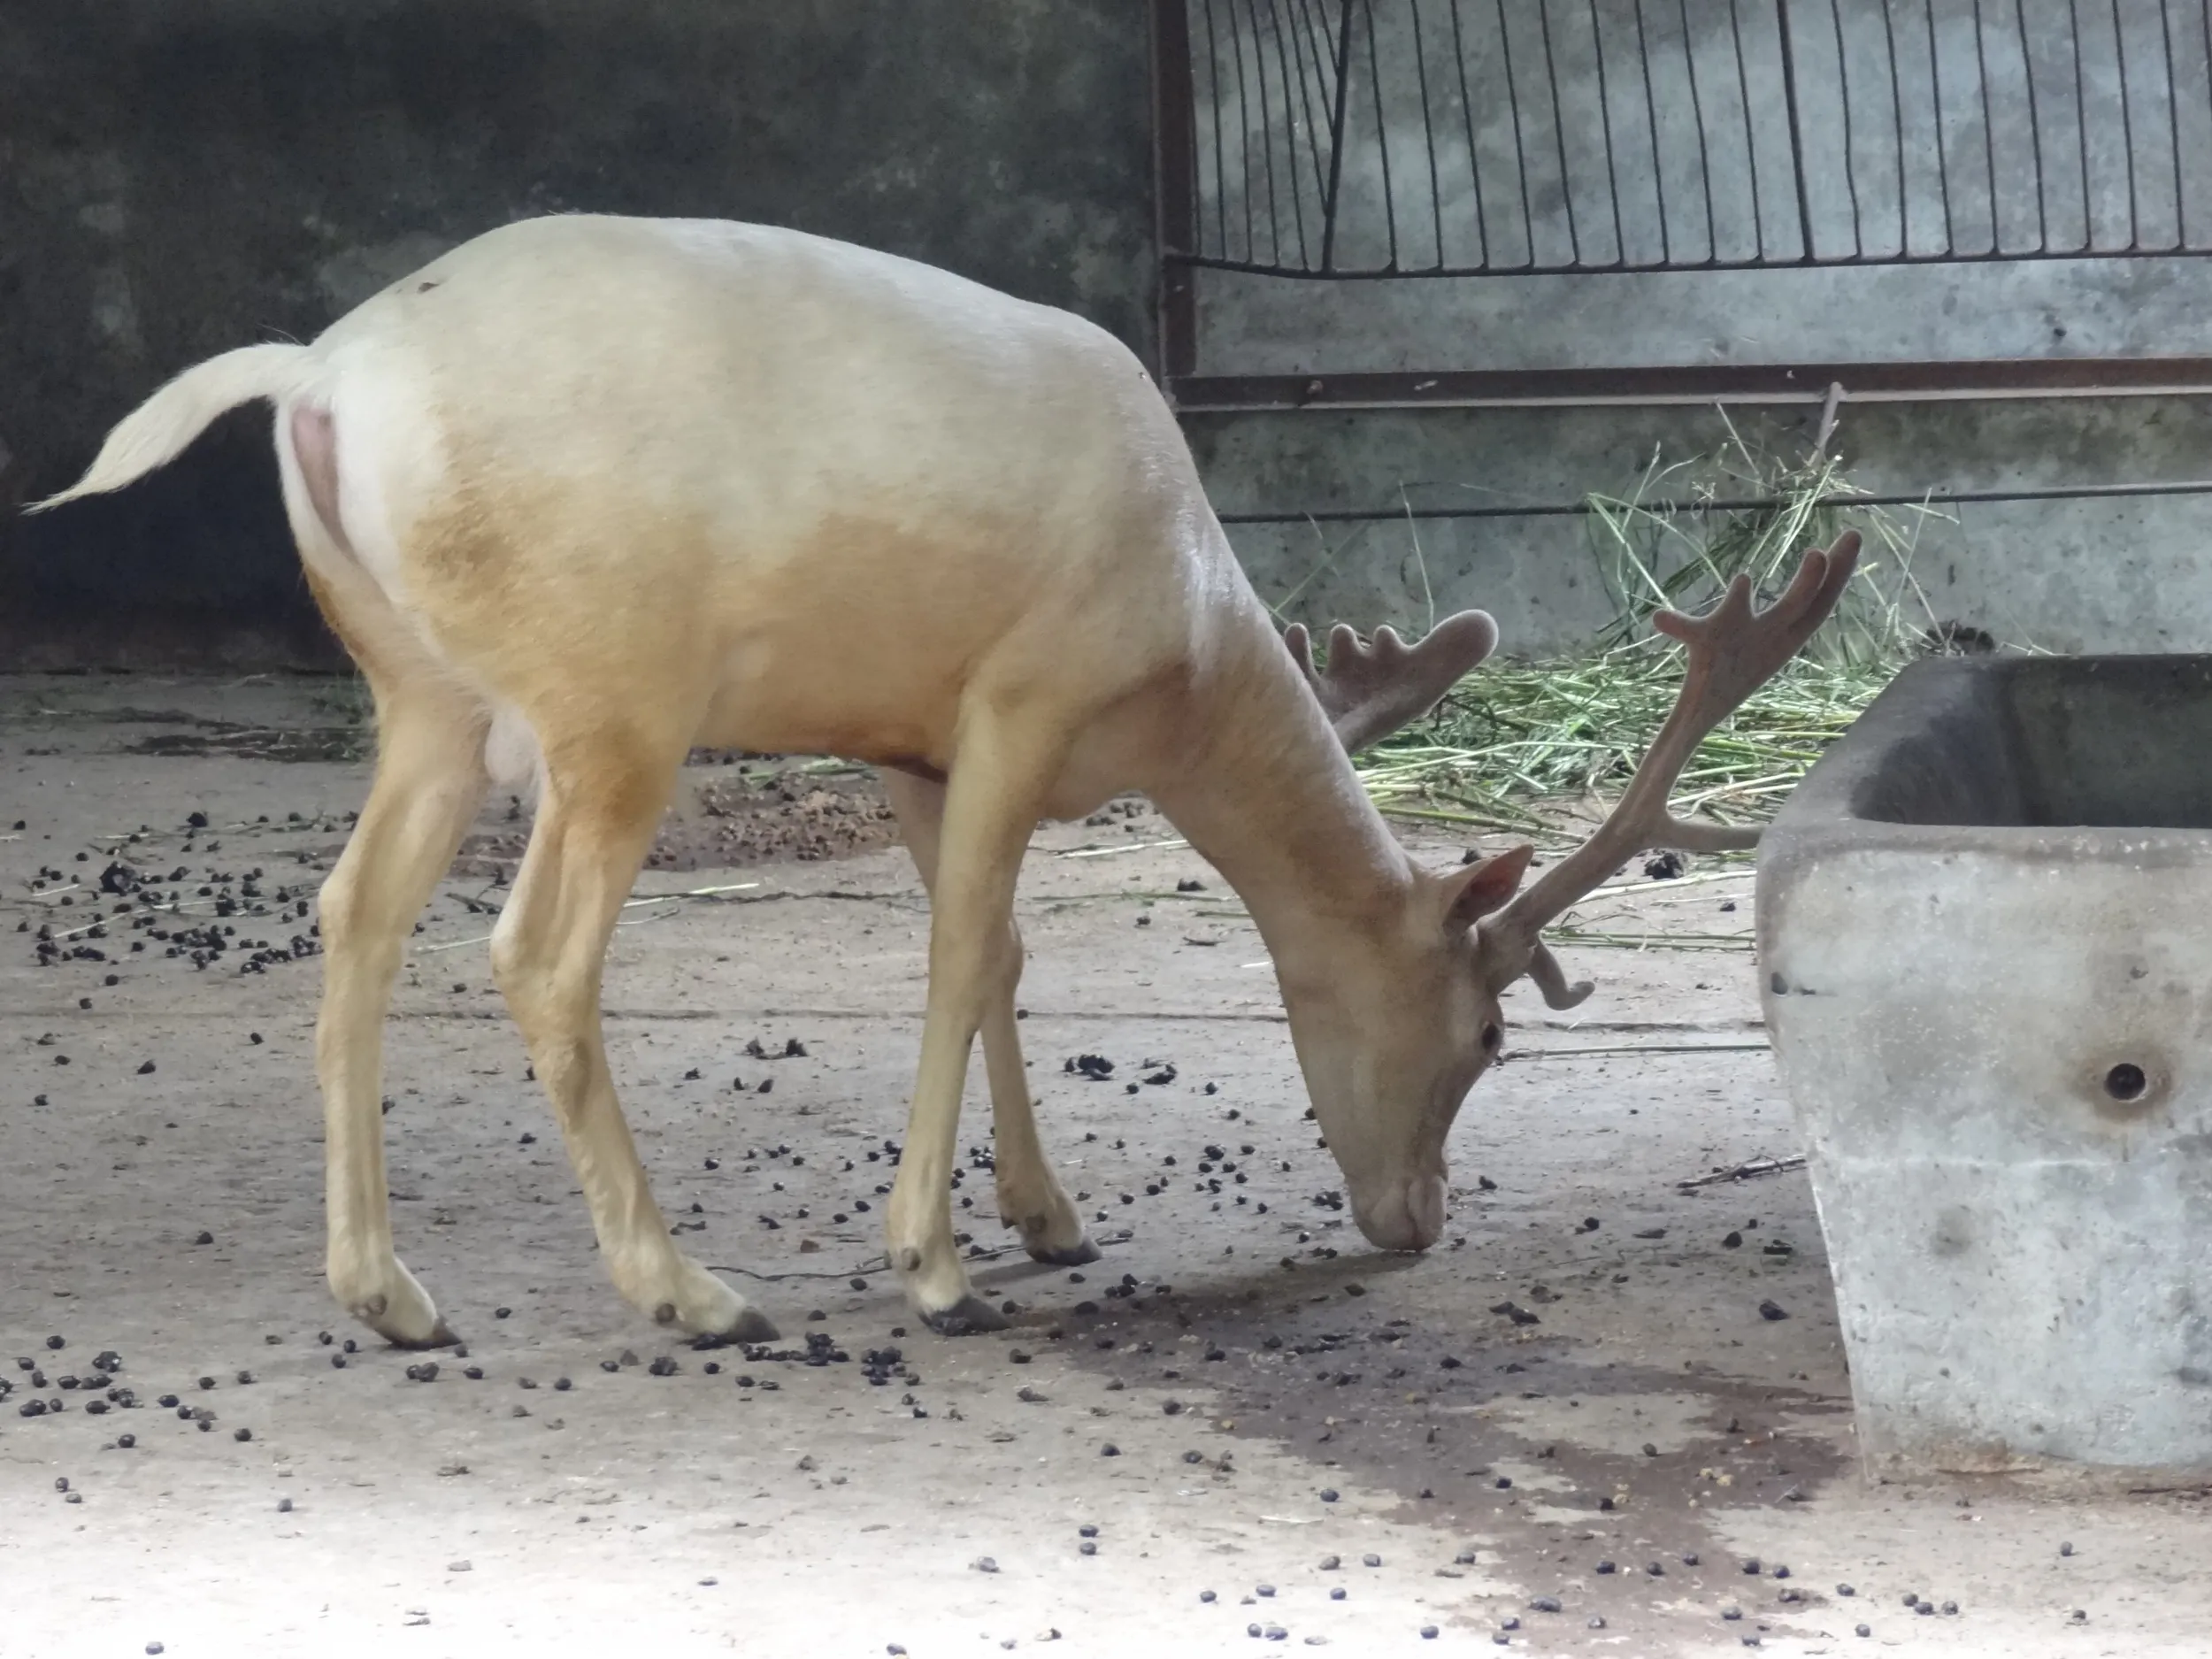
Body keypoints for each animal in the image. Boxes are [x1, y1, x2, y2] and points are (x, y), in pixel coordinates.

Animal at [34, 214, 1859, 1347]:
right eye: (1485, 1035)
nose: (1415, 1221)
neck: (1185, 649)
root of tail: (319, 382)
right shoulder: (1022, 696)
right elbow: (968, 947)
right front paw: (934, 1266)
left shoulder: (912, 748)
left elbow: (1000, 959)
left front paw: (1051, 1218)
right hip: (611, 699)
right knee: (533, 951)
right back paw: (688, 1289)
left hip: (419, 693)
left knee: (349, 914)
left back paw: (389, 1294)